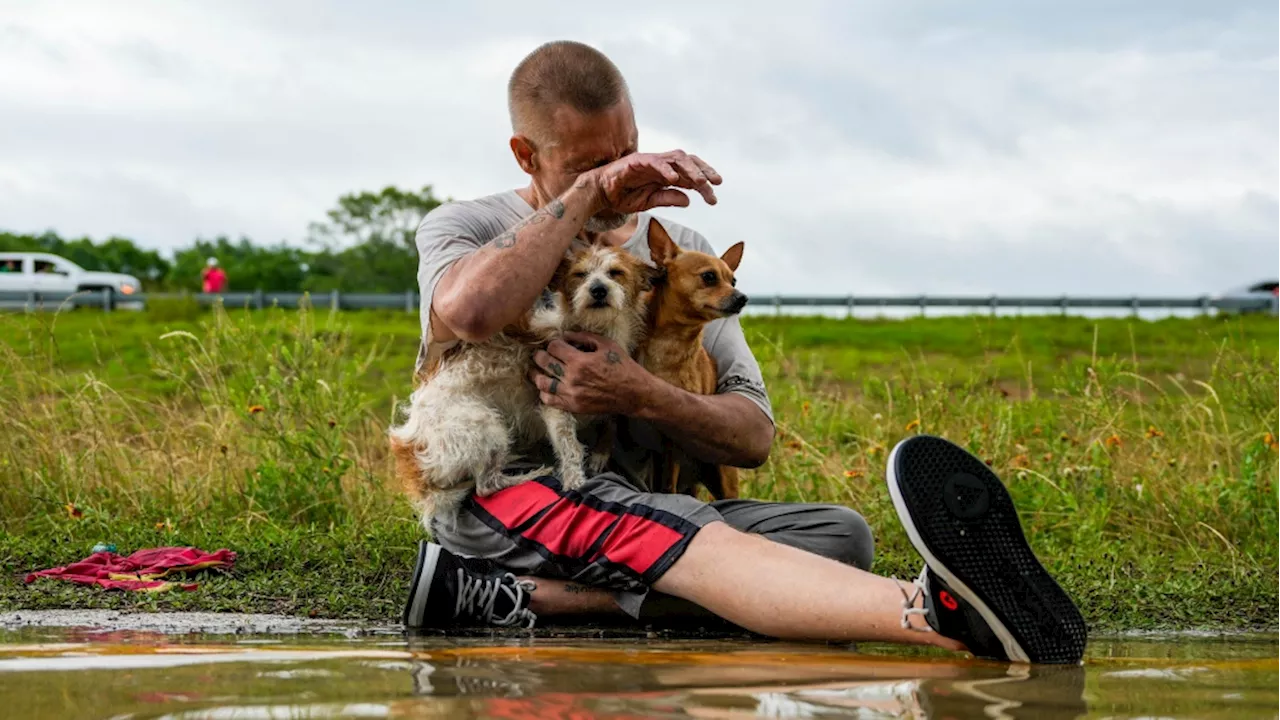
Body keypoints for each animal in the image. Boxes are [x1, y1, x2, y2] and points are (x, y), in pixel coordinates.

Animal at [645, 219, 747, 499]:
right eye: (709, 277)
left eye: (733, 280)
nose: (742, 297)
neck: (671, 341)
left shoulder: (676, 436)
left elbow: (667, 483)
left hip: (724, 476)